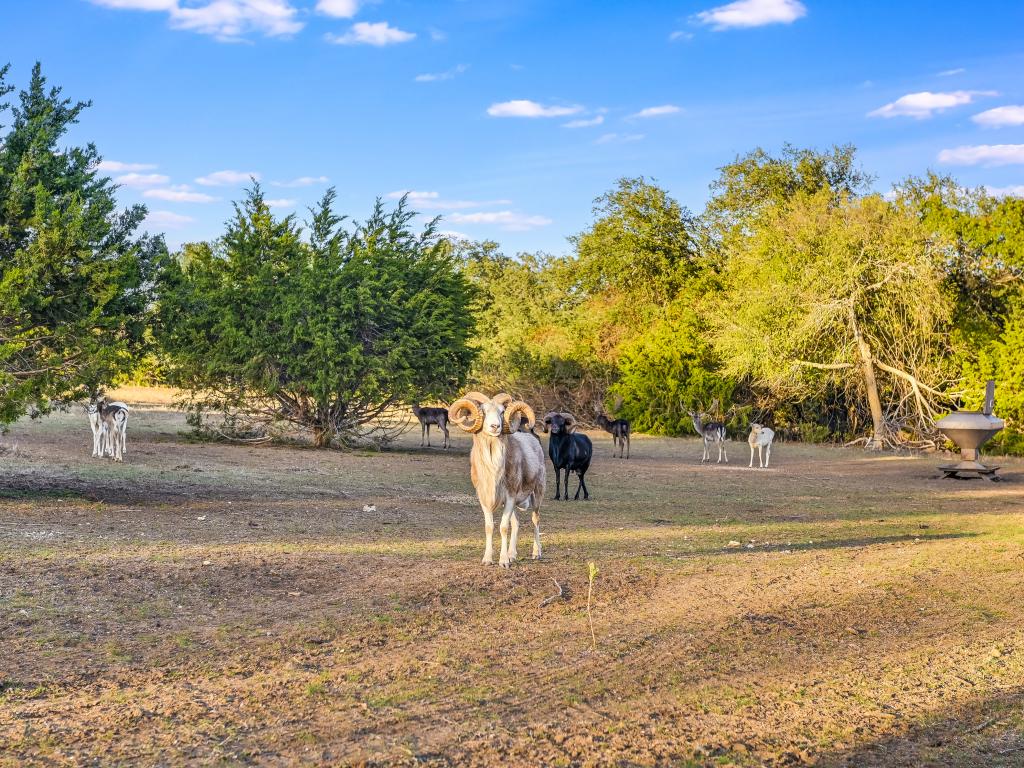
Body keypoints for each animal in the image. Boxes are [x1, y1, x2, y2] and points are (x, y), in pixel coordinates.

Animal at [448, 393, 544, 569]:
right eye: (484, 412)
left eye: (501, 412)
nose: (495, 426)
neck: (493, 470)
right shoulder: (485, 499)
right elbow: (490, 527)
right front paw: (488, 559)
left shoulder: (510, 496)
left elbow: (503, 527)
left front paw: (504, 562)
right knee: (516, 523)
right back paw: (513, 555)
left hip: (537, 493)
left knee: (535, 520)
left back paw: (536, 554)